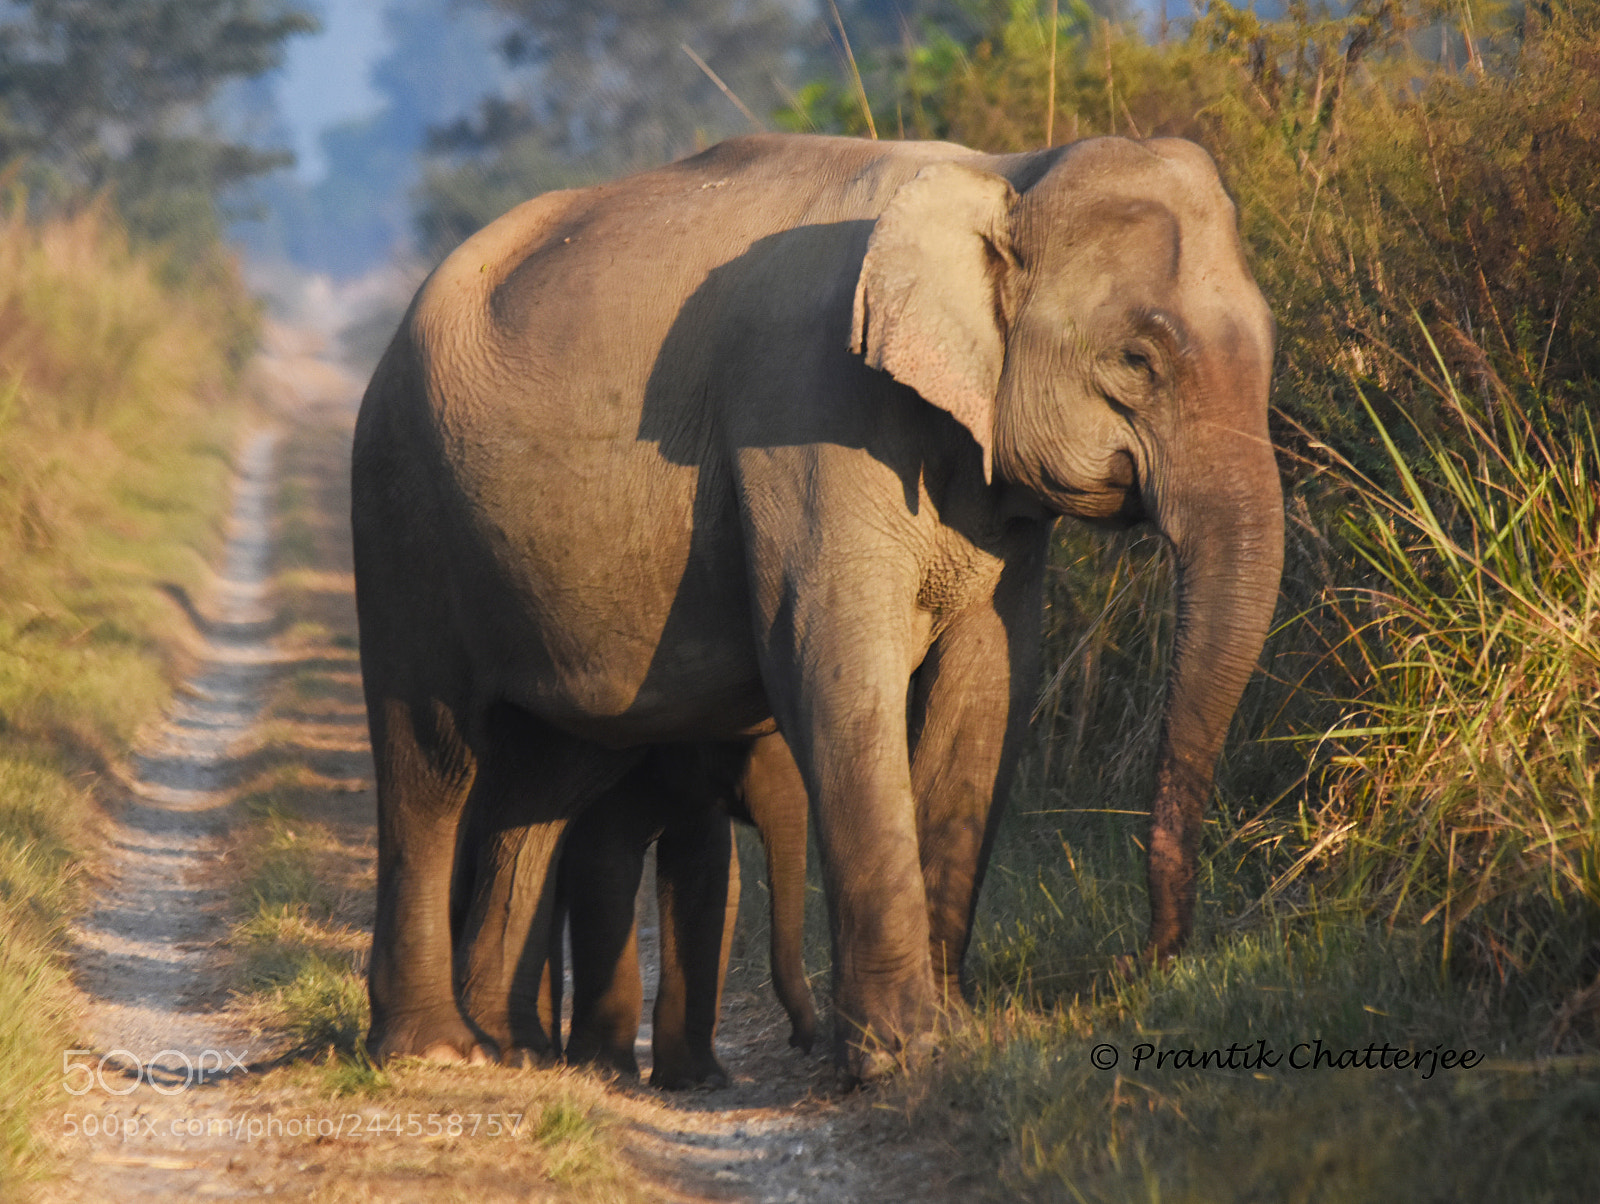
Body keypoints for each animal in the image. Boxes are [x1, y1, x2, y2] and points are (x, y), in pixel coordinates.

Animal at [351, 131, 1283, 1080]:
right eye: (1137, 360)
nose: (1140, 968)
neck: (1007, 176)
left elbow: (988, 685)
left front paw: (947, 1035)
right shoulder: (807, 413)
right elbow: (829, 658)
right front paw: (899, 1054)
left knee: (543, 780)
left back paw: (512, 1048)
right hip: (401, 503)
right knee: (432, 754)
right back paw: (436, 1051)